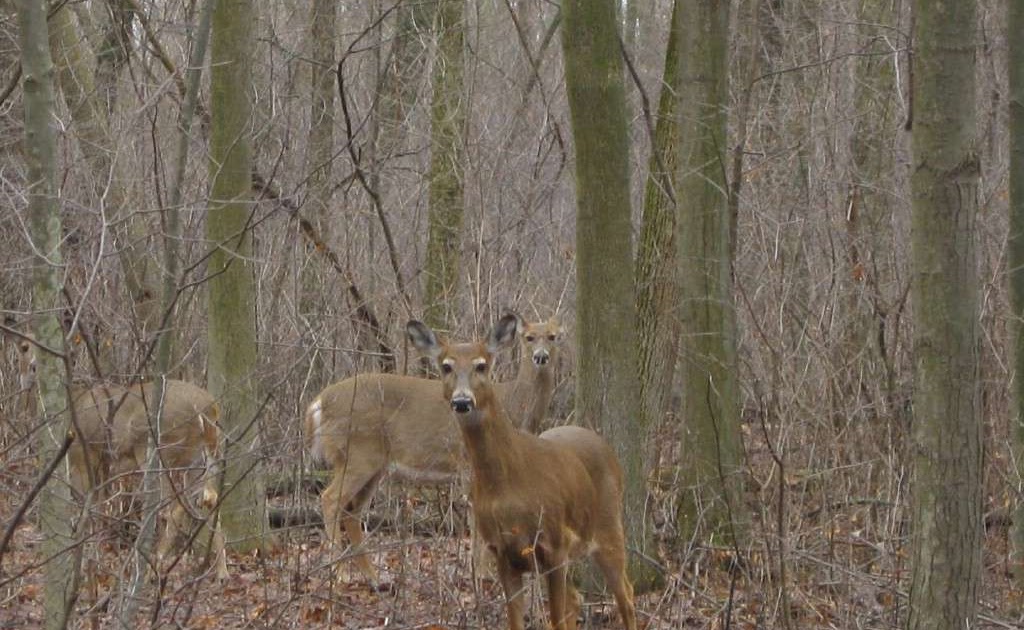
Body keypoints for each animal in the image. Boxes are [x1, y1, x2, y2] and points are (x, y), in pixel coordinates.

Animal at [15, 337, 228, 581]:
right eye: (24, 348)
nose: (32, 369)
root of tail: (208, 408)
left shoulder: (81, 455)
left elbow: (88, 509)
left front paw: (89, 564)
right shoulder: (104, 464)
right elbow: (101, 506)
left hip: (161, 453)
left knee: (174, 507)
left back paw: (153, 568)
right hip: (200, 458)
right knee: (210, 498)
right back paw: (222, 572)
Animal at [304, 314, 563, 584]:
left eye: (553, 336)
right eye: (529, 337)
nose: (541, 356)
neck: (512, 408)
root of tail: (318, 404)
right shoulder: (466, 466)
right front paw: (481, 576)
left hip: (373, 465)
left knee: (352, 512)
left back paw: (374, 577)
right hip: (357, 455)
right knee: (330, 499)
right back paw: (341, 574)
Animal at [407, 314, 637, 630]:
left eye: (482, 365)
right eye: (446, 366)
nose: (462, 401)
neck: (508, 485)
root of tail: (605, 446)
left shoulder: (554, 543)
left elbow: (556, 619)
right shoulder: (503, 552)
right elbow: (516, 620)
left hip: (608, 527)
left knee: (626, 595)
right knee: (578, 599)